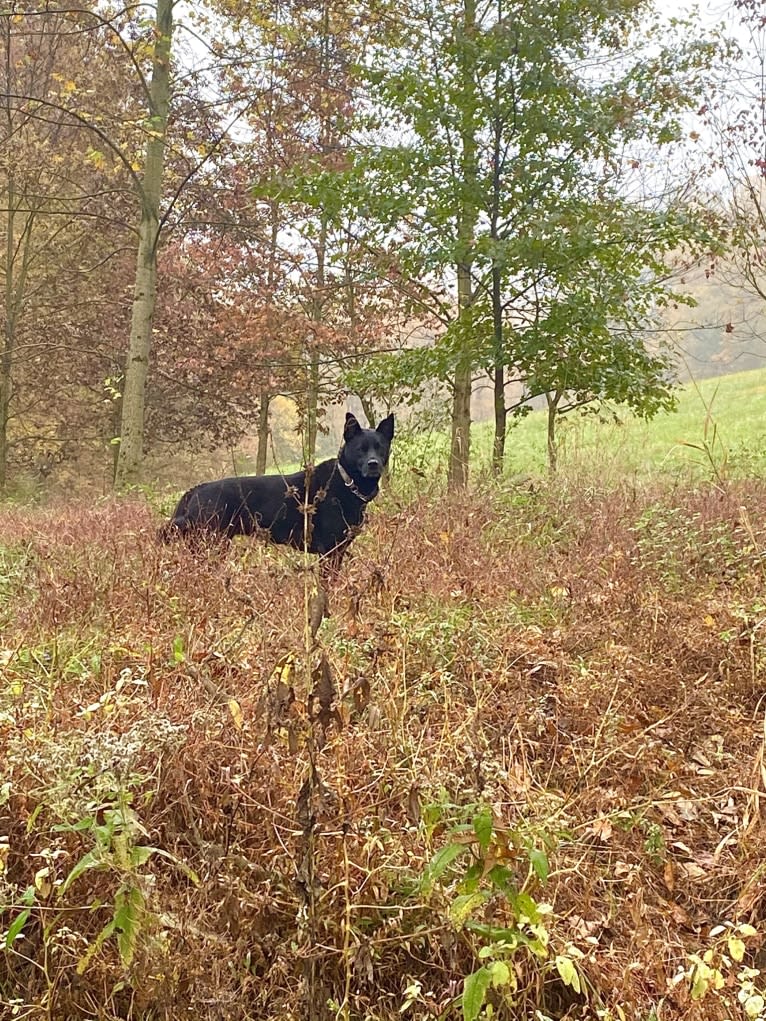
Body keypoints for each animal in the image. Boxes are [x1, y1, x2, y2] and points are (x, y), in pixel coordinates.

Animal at [158, 412, 392, 571]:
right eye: (361, 449)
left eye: (380, 447)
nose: (373, 464)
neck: (346, 481)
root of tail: (195, 490)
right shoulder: (329, 551)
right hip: (209, 543)